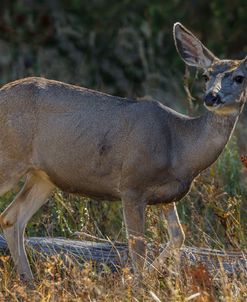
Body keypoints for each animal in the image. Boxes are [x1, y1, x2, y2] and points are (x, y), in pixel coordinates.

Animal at [0, 23, 246, 280]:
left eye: (239, 78)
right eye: (206, 76)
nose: (211, 97)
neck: (180, 146)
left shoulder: (168, 196)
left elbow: (178, 236)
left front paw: (149, 276)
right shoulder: (132, 185)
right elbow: (138, 248)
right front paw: (137, 282)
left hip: (43, 177)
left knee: (11, 218)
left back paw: (28, 281)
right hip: (9, 159)